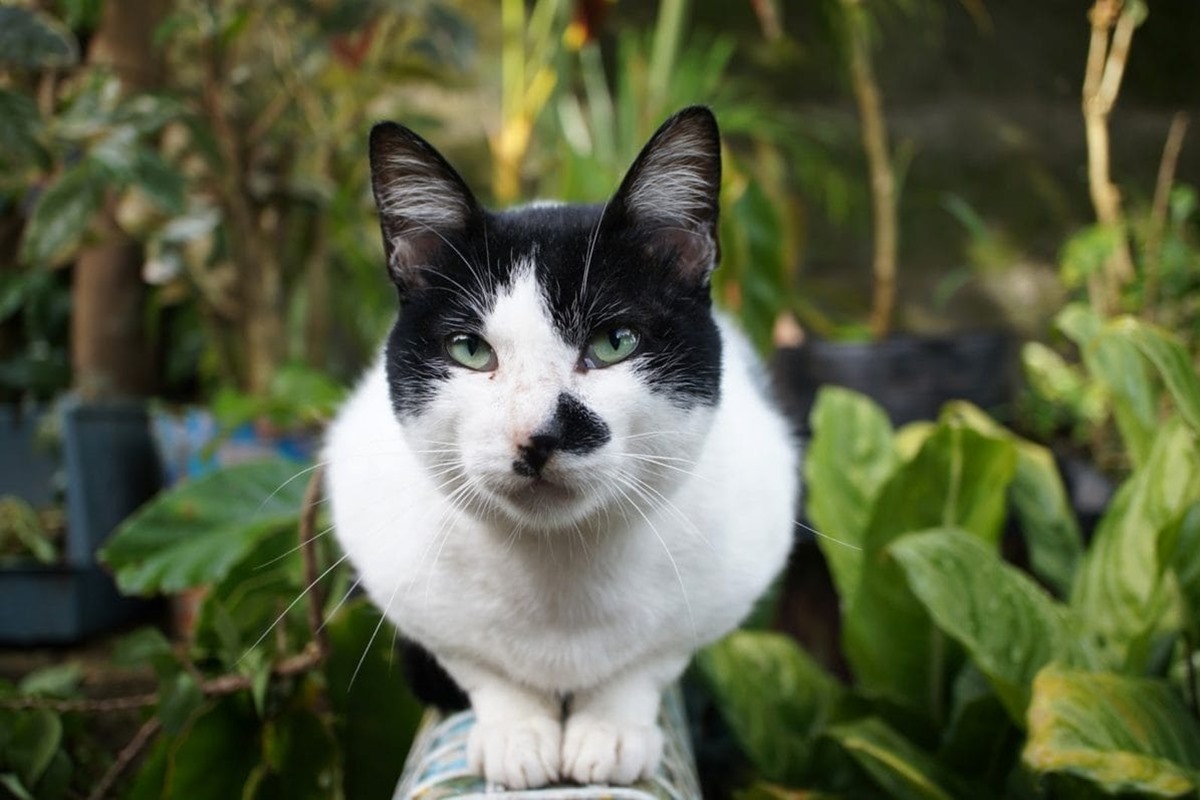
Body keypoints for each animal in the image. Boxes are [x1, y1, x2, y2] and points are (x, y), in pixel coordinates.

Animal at [324, 109, 801, 791]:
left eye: (615, 342)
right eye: (470, 350)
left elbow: (651, 661)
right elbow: (477, 664)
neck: (557, 573)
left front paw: (609, 728)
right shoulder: (399, 572)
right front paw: (517, 732)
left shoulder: (730, 574)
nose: (538, 434)